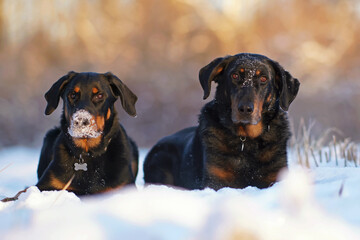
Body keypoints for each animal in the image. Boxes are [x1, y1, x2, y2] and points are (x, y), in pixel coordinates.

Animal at [145, 53, 300, 190]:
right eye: (235, 75)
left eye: (263, 78)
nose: (245, 109)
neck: (246, 141)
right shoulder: (216, 180)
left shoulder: (275, 176)